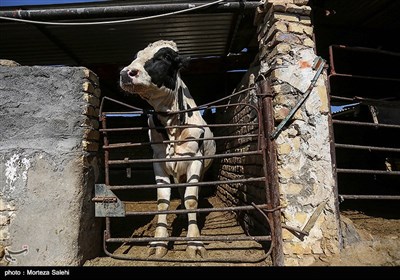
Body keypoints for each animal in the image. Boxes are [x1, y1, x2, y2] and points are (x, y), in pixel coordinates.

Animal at [119, 40, 216, 258]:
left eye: (165, 57)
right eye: (136, 56)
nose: (126, 73)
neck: (171, 124)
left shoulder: (195, 160)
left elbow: (191, 200)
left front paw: (194, 242)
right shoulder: (158, 161)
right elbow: (162, 202)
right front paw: (159, 242)